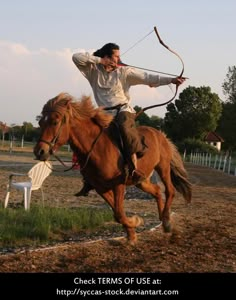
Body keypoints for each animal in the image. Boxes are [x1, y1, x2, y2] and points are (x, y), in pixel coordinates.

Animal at [33, 92, 192, 244]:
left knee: (170, 190)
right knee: (158, 191)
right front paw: (132, 233)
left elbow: (119, 213)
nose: (39, 151)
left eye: (55, 122)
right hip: (141, 180)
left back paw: (166, 222)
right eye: (40, 122)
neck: (97, 148)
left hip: (163, 167)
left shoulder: (118, 184)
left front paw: (135, 222)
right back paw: (163, 220)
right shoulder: (100, 187)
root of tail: (161, 135)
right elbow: (117, 214)